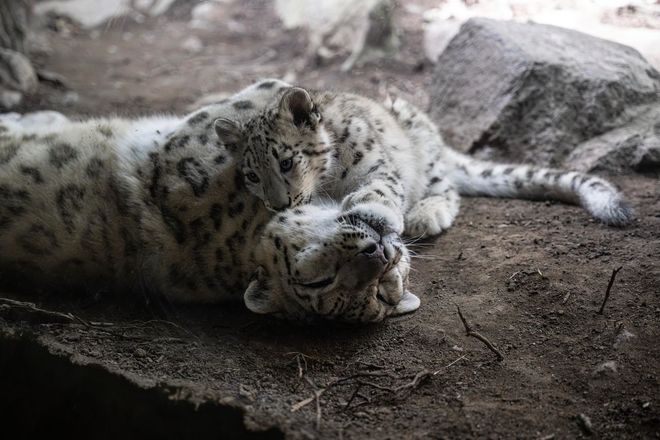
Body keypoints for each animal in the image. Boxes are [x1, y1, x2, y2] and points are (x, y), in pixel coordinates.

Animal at [215, 85, 633, 239]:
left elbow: (381, 190)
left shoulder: (376, 167)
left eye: (286, 162)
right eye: (252, 175)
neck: (329, 181)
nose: (278, 204)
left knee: (447, 189)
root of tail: (437, 136)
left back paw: (426, 214)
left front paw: (374, 212)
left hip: (427, 161)